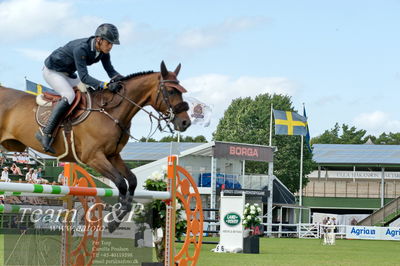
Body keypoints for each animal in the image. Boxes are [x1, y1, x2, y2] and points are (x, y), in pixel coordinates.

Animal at [0, 61, 192, 232]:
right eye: (171, 91)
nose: (185, 123)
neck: (112, 112)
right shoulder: (93, 158)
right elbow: (120, 183)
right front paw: (113, 220)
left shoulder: (113, 155)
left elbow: (132, 180)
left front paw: (117, 219)